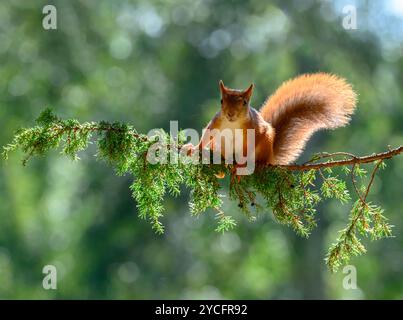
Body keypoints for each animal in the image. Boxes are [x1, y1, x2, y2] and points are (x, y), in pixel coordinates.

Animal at [183, 73, 356, 170]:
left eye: (245, 102)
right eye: (221, 101)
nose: (230, 114)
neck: (232, 124)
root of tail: (272, 155)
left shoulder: (254, 129)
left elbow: (250, 143)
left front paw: (242, 162)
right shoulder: (217, 121)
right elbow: (208, 133)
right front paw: (195, 148)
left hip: (265, 144)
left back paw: (258, 163)